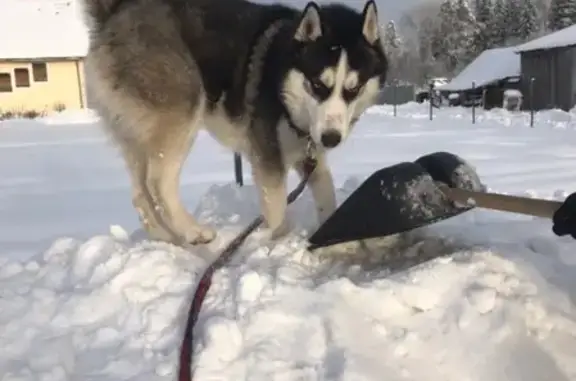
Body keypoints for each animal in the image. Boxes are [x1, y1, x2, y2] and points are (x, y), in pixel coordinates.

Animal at [80, 0, 388, 245]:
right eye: (317, 85)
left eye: (353, 89)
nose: (331, 138)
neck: (282, 85)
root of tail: (117, 11)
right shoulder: (268, 157)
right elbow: (277, 207)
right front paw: (279, 240)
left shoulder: (309, 153)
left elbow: (326, 195)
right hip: (183, 110)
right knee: (157, 183)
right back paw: (192, 231)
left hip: (135, 135)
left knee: (140, 193)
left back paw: (168, 237)